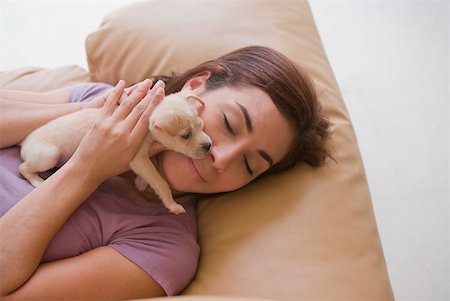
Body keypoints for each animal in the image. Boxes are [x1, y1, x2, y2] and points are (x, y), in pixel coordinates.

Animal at [19, 89, 213, 213]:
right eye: (186, 136)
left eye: (201, 125)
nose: (209, 145)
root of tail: (24, 143)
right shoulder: (138, 158)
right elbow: (160, 182)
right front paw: (172, 205)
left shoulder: (143, 158)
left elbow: (151, 170)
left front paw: (141, 182)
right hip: (49, 155)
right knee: (23, 167)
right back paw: (37, 181)